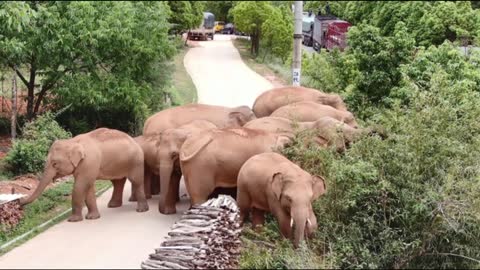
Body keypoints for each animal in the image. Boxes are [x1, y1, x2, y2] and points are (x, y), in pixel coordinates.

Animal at [19, 127, 148, 223]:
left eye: (55, 163)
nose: (19, 204)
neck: (73, 141)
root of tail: (135, 140)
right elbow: (88, 187)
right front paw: (92, 218)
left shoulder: (88, 162)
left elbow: (80, 186)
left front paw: (73, 220)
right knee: (118, 182)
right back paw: (113, 206)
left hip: (136, 161)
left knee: (136, 181)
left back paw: (141, 210)